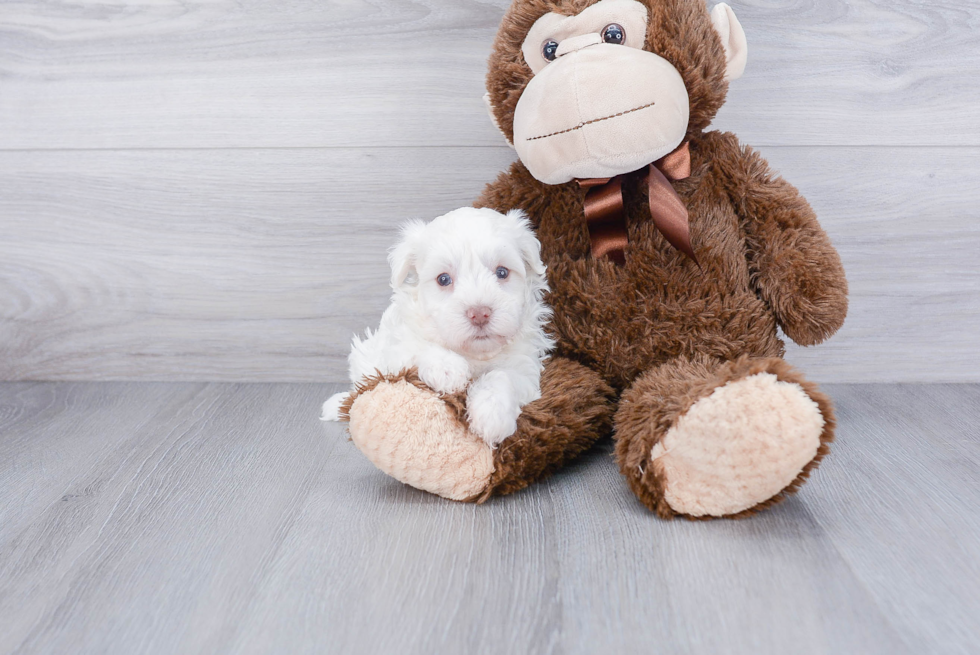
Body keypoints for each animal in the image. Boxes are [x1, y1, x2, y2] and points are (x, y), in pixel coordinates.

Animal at [320, 208, 552, 448]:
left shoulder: (524, 366)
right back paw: (336, 405)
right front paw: (448, 368)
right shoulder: (394, 347)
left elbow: (503, 376)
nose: (479, 313)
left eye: (503, 273)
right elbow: (416, 346)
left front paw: (491, 414)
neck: (473, 354)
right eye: (443, 279)